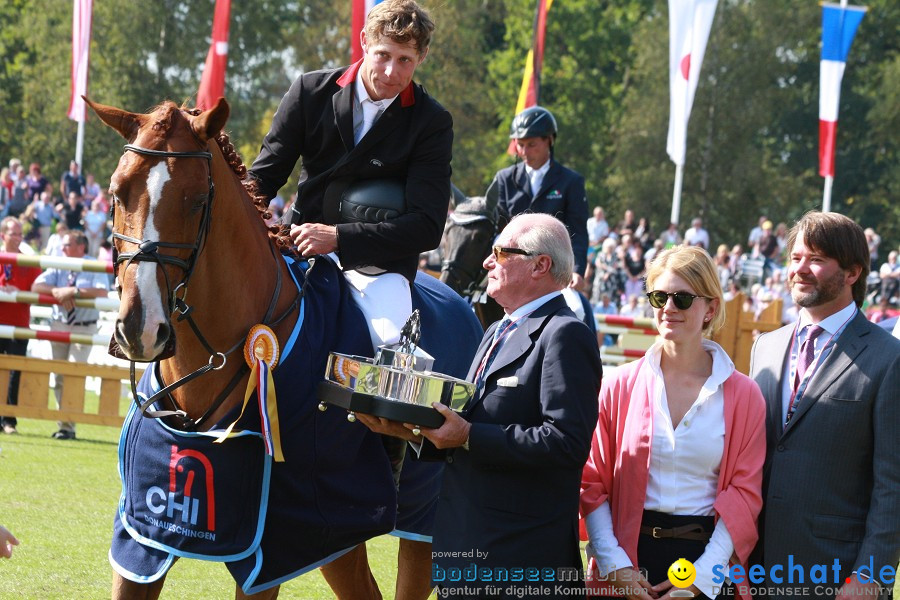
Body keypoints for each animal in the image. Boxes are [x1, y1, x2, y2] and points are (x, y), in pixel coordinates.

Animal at [89, 99, 486, 600]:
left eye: (197, 200)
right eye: (117, 192)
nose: (140, 328)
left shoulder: (274, 548)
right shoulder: (144, 536)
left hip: (414, 528)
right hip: (337, 538)